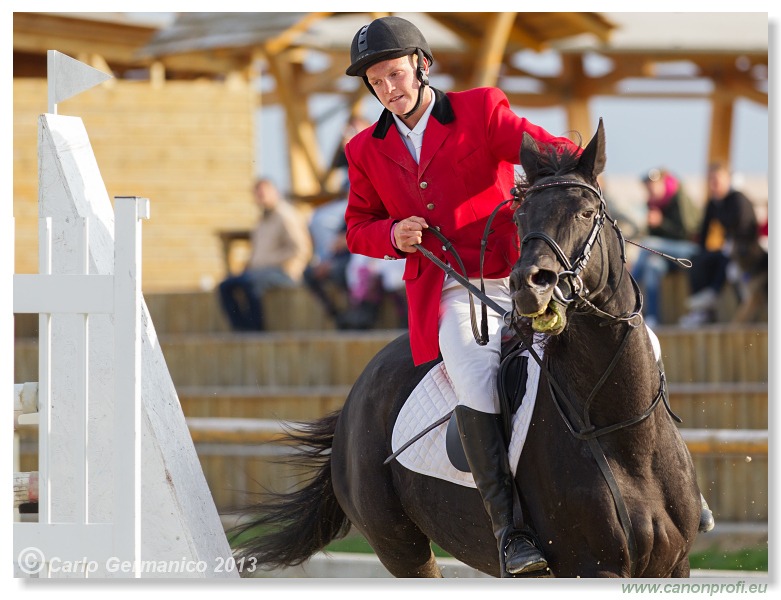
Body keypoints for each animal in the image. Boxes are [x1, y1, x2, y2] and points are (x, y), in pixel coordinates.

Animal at [232, 120, 700, 576]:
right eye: (520, 217)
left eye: (586, 212)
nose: (529, 286)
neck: (617, 428)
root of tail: (356, 396)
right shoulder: (591, 567)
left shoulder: (673, 565)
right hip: (400, 548)